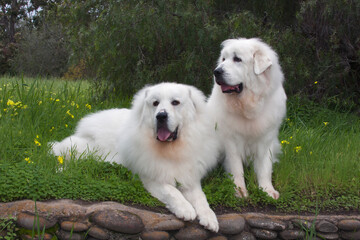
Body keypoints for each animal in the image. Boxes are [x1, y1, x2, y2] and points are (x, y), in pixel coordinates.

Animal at [50, 82, 219, 231]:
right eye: (155, 103)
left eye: (175, 102)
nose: (161, 116)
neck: (171, 150)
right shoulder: (152, 177)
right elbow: (172, 191)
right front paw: (185, 208)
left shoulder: (190, 178)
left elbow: (202, 199)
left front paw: (210, 218)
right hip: (88, 152)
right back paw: (61, 170)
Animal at [208, 37, 286, 199]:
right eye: (223, 59)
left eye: (237, 59)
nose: (216, 71)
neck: (247, 106)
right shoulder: (231, 141)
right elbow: (237, 168)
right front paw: (239, 190)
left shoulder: (266, 139)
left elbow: (265, 167)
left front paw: (267, 190)